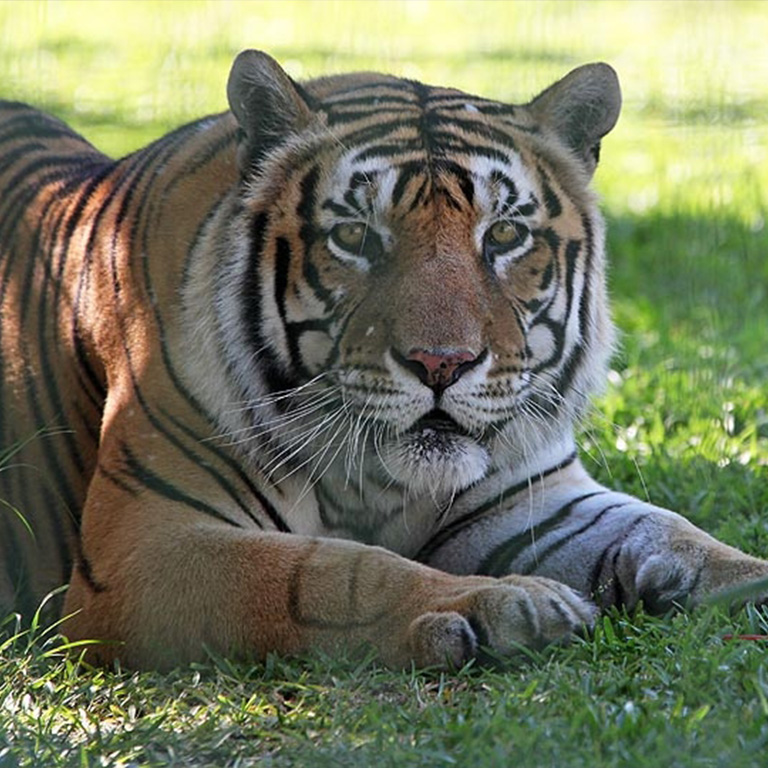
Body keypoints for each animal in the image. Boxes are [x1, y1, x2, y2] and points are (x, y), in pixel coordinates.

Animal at [1, 50, 766, 670]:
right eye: (355, 237)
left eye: (504, 235)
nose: (441, 363)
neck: (380, 481)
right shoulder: (144, 546)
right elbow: (333, 571)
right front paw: (502, 606)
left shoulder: (534, 496)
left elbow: (668, 528)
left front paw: (747, 576)